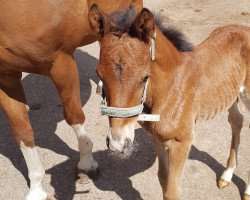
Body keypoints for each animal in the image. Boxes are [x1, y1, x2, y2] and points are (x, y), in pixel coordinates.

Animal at [0, 0, 143, 199]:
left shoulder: (60, 62)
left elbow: (74, 116)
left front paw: (86, 166)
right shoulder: (6, 76)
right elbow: (22, 132)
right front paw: (37, 188)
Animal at [89, 4, 250, 200]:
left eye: (145, 77)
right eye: (99, 74)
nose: (117, 144)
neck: (170, 89)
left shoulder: (181, 142)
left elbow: (172, 191)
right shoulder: (157, 139)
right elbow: (162, 179)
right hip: (231, 95)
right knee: (237, 121)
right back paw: (226, 176)